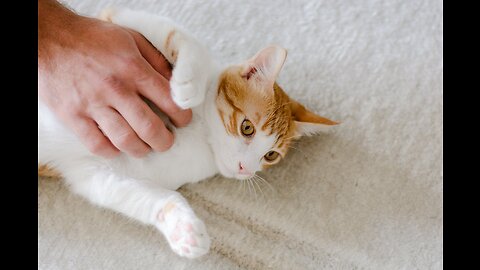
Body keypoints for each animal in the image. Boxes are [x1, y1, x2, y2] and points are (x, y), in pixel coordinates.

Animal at [37, 7, 338, 258]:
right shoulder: (117, 23)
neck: (203, 136)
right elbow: (182, 38)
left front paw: (186, 230)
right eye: (247, 128)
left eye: (271, 155)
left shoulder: (98, 172)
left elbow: (149, 195)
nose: (246, 169)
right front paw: (187, 86)